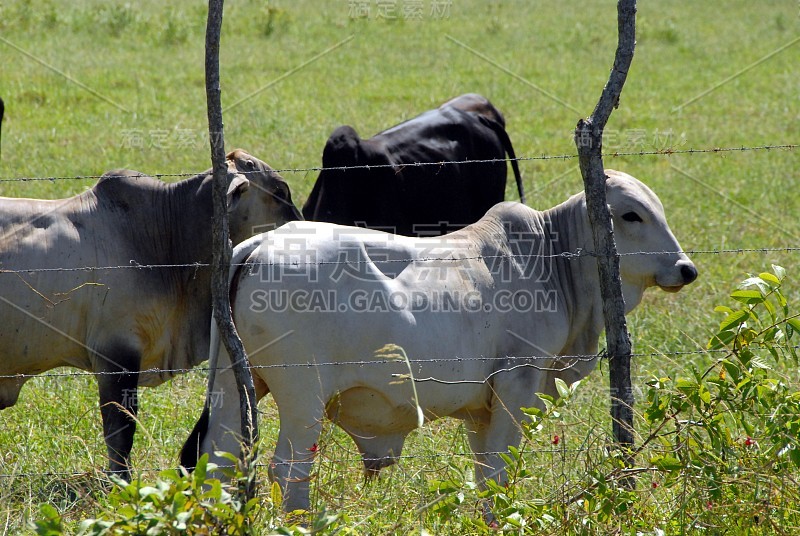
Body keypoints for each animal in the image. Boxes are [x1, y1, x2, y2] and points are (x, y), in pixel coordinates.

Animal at [181, 170, 692, 512]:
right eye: (630, 215)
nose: (686, 268)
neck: (551, 260)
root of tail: (260, 246)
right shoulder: (517, 383)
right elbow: (500, 471)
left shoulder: (482, 407)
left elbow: (486, 476)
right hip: (303, 396)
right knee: (289, 471)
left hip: (231, 386)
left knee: (218, 463)